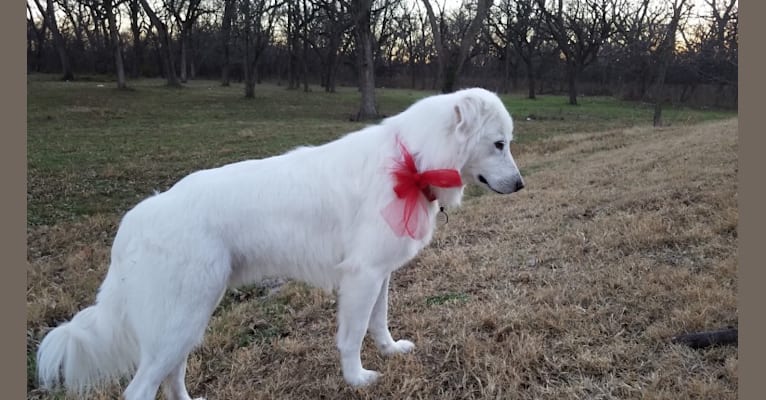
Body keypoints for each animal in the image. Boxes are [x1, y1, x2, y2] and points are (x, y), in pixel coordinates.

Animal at [39, 88, 524, 400]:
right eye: (499, 144)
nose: (521, 185)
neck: (412, 161)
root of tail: (137, 218)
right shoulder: (361, 277)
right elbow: (352, 335)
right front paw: (358, 380)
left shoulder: (379, 275)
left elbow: (378, 321)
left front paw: (390, 351)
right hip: (179, 320)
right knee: (140, 389)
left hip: (186, 319)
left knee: (172, 378)